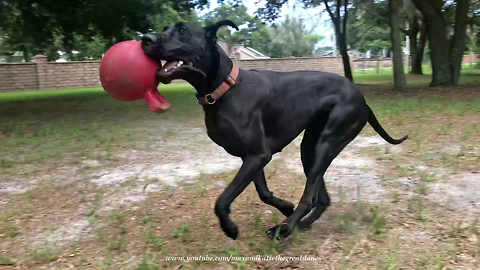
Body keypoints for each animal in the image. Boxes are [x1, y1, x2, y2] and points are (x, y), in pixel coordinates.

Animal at [141, 21, 406, 240]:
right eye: (165, 29)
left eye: (182, 30)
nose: (145, 38)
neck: (225, 88)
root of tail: (362, 100)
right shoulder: (251, 157)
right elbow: (263, 193)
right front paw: (284, 206)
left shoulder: (258, 155)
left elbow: (222, 199)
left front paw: (230, 228)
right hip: (309, 148)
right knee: (321, 198)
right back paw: (299, 224)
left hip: (327, 143)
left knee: (309, 197)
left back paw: (284, 229)